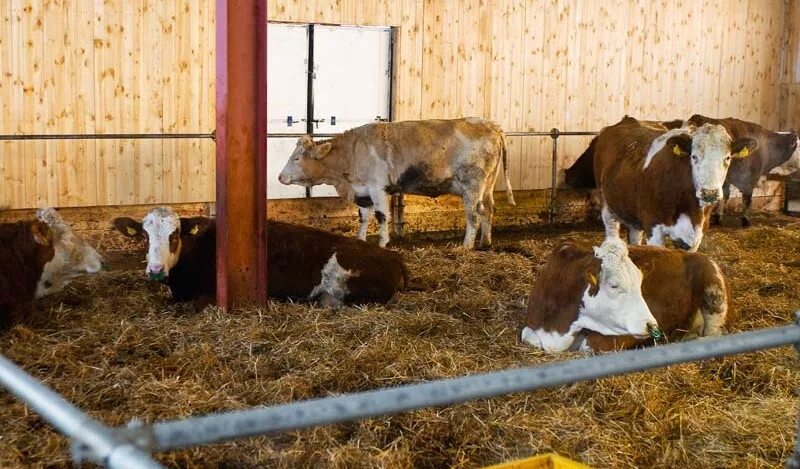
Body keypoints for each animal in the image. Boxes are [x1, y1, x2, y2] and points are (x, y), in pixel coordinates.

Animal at [278, 117, 516, 249]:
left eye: (296, 158)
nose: (280, 177)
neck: (352, 152)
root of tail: (490, 125)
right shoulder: (363, 192)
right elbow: (364, 218)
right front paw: (360, 239)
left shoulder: (377, 188)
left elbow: (382, 216)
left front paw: (383, 242)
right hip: (487, 186)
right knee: (489, 210)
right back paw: (485, 242)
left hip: (472, 186)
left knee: (474, 214)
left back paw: (466, 246)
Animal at [592, 115, 756, 250]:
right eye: (693, 156)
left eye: (727, 158)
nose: (709, 192)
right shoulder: (653, 228)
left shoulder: (696, 236)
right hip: (608, 207)